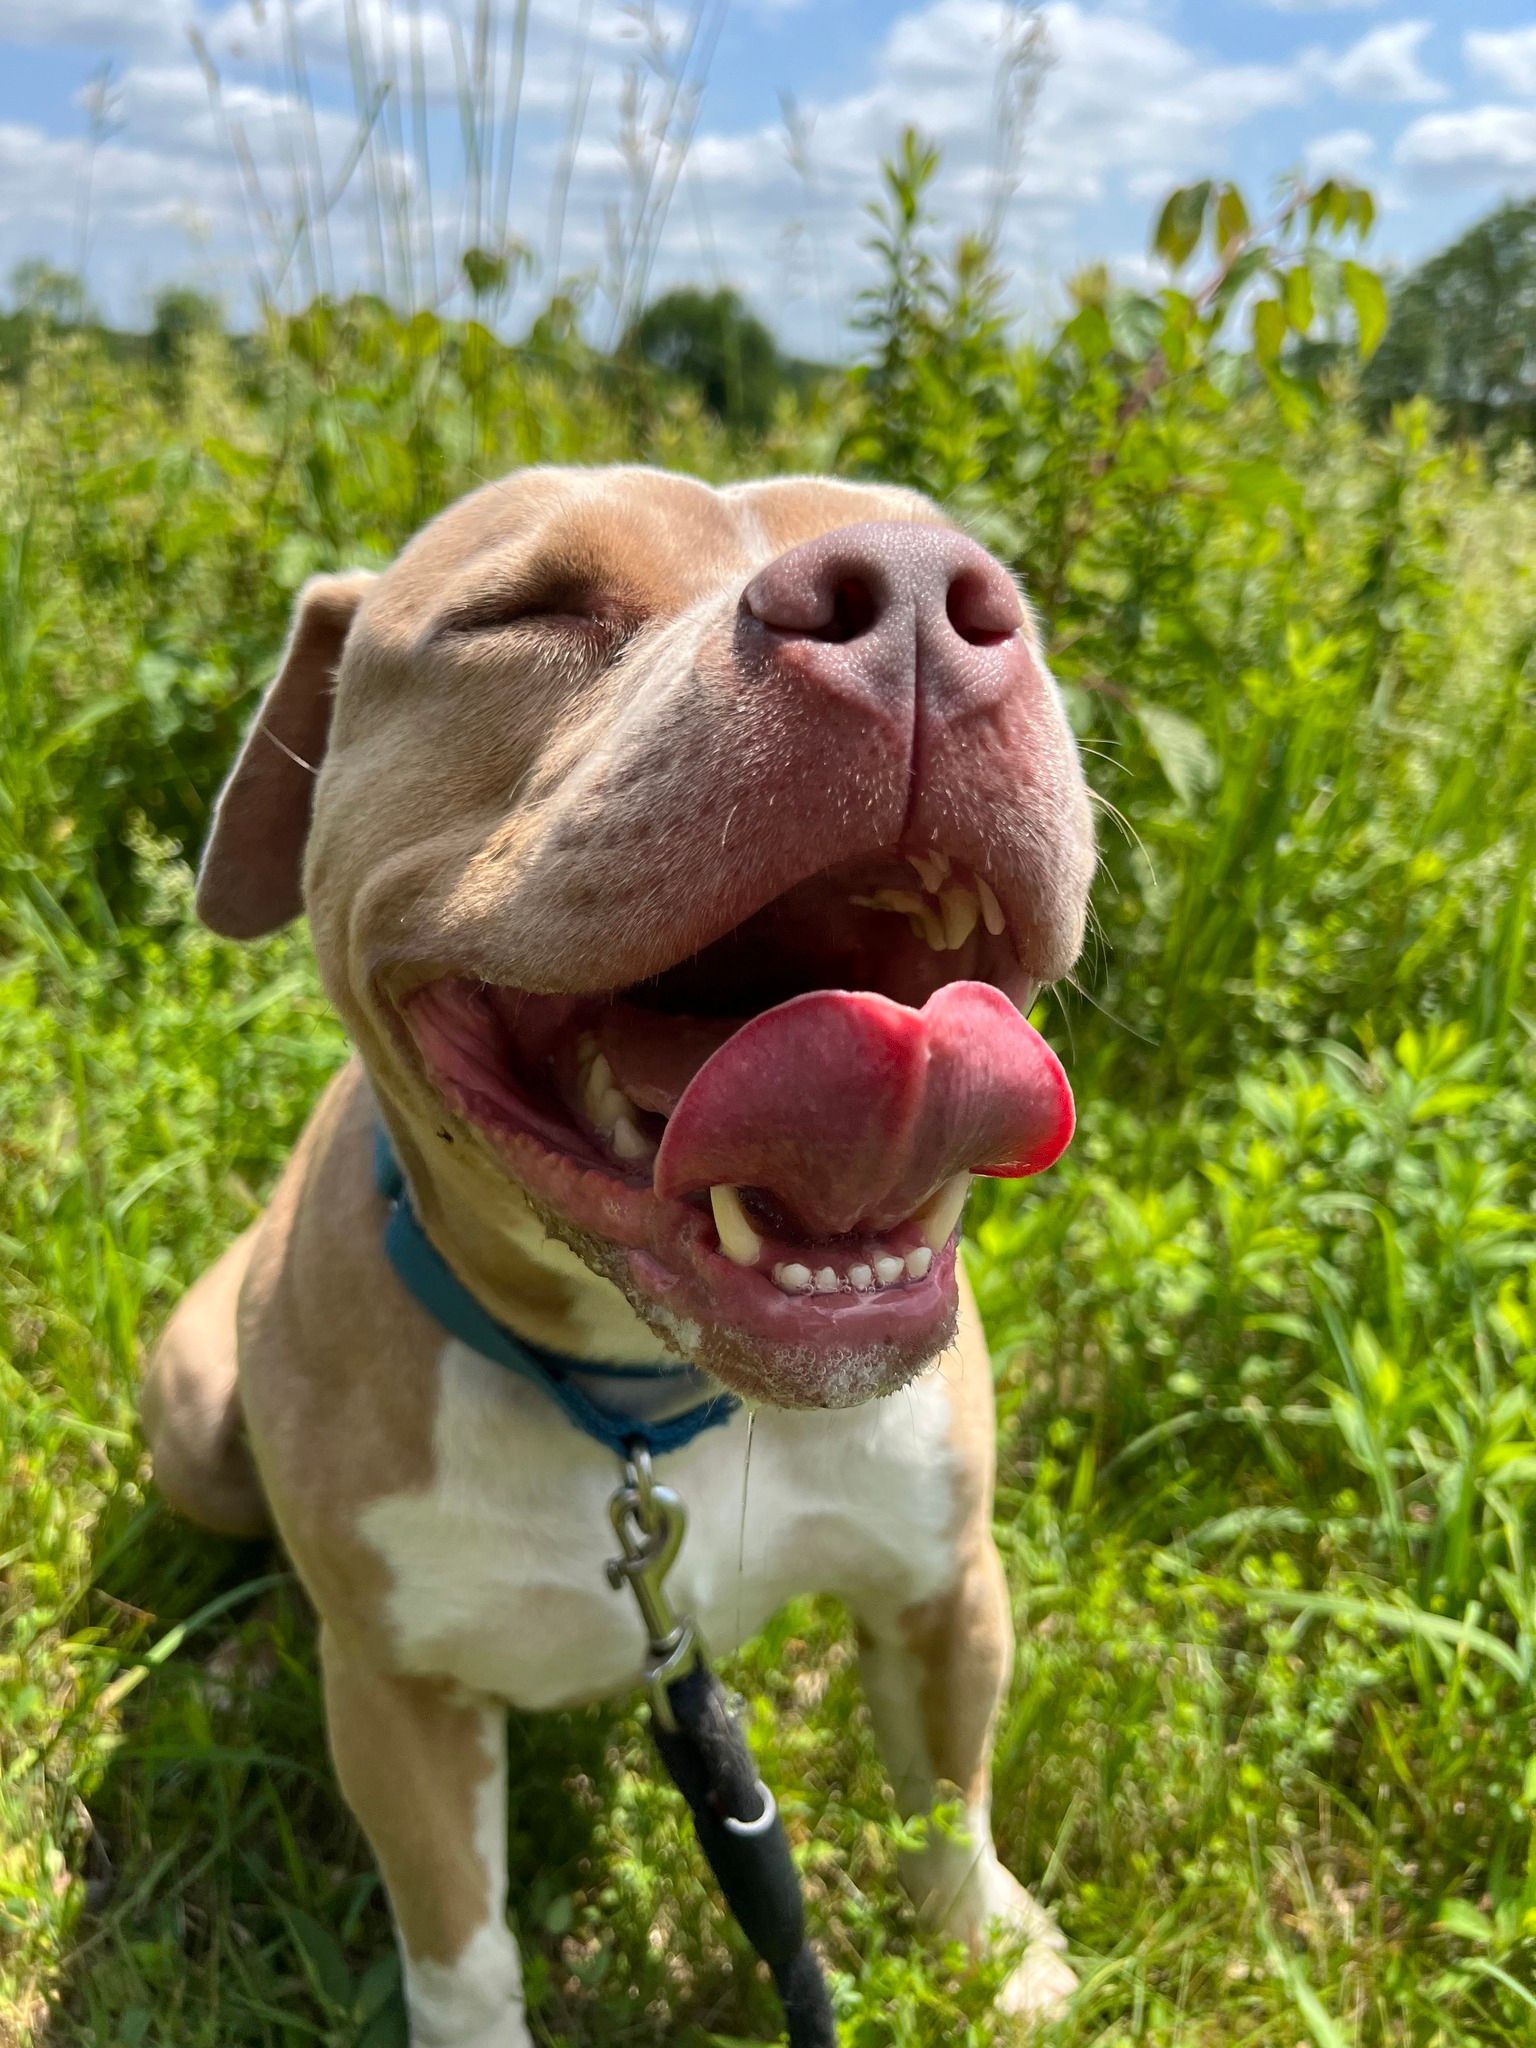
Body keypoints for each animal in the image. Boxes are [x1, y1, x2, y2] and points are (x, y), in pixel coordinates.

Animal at [144, 468, 1097, 2048]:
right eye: (519, 611)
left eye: (986, 577)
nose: (915, 599)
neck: (642, 1402)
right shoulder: (407, 1706)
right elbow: (459, 1948)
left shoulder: (945, 1582)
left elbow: (949, 1799)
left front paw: (996, 1957)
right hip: (190, 1411)